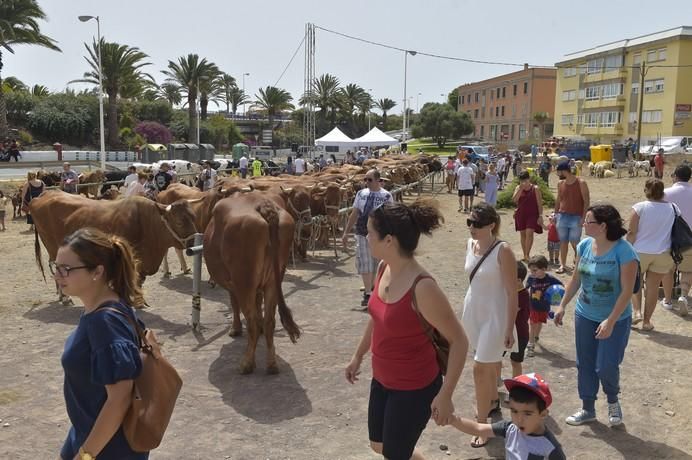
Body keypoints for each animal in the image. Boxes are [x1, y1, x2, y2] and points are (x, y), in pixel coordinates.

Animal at [30, 189, 197, 304]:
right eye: (179, 222)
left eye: (194, 218)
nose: (195, 243)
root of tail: (46, 193)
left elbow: (138, 280)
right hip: (52, 246)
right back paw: (65, 297)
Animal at [200, 190, 298, 374]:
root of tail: (264, 206)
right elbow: (258, 305)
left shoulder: (233, 285)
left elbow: (234, 304)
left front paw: (235, 329)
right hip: (273, 280)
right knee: (270, 320)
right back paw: (272, 364)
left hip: (244, 280)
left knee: (251, 322)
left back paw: (246, 364)